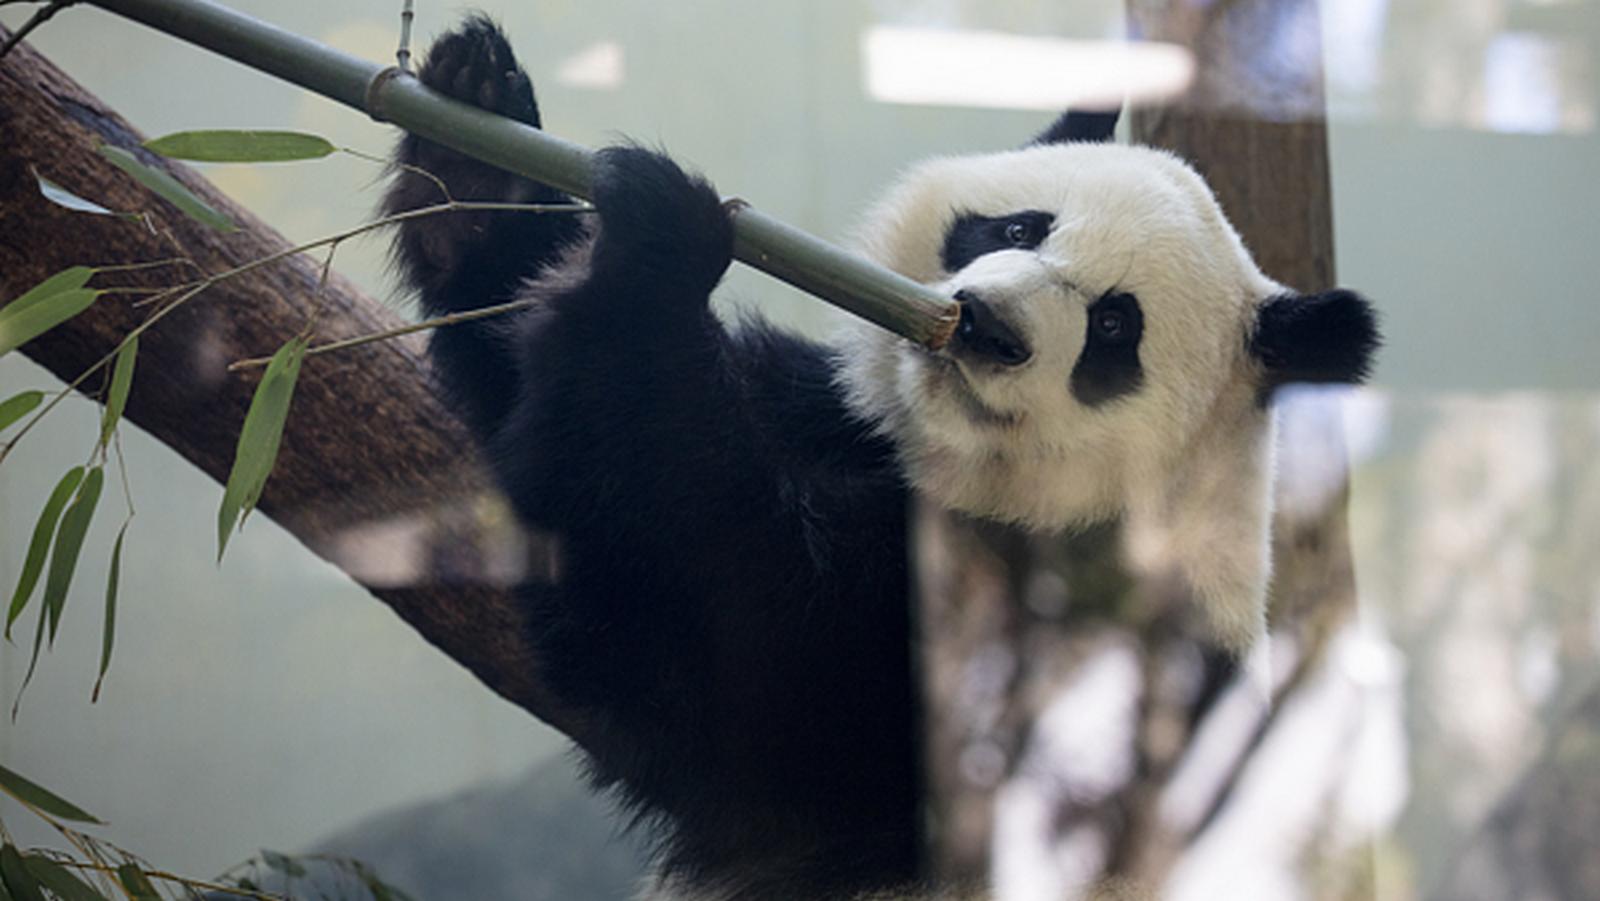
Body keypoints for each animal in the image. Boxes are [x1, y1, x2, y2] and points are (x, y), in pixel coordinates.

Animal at [384, 15, 1376, 901]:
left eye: (1113, 325)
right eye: (1019, 230)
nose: (989, 328)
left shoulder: (1071, 638)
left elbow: (744, 664)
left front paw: (659, 252)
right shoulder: (833, 417)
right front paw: (476, 145)